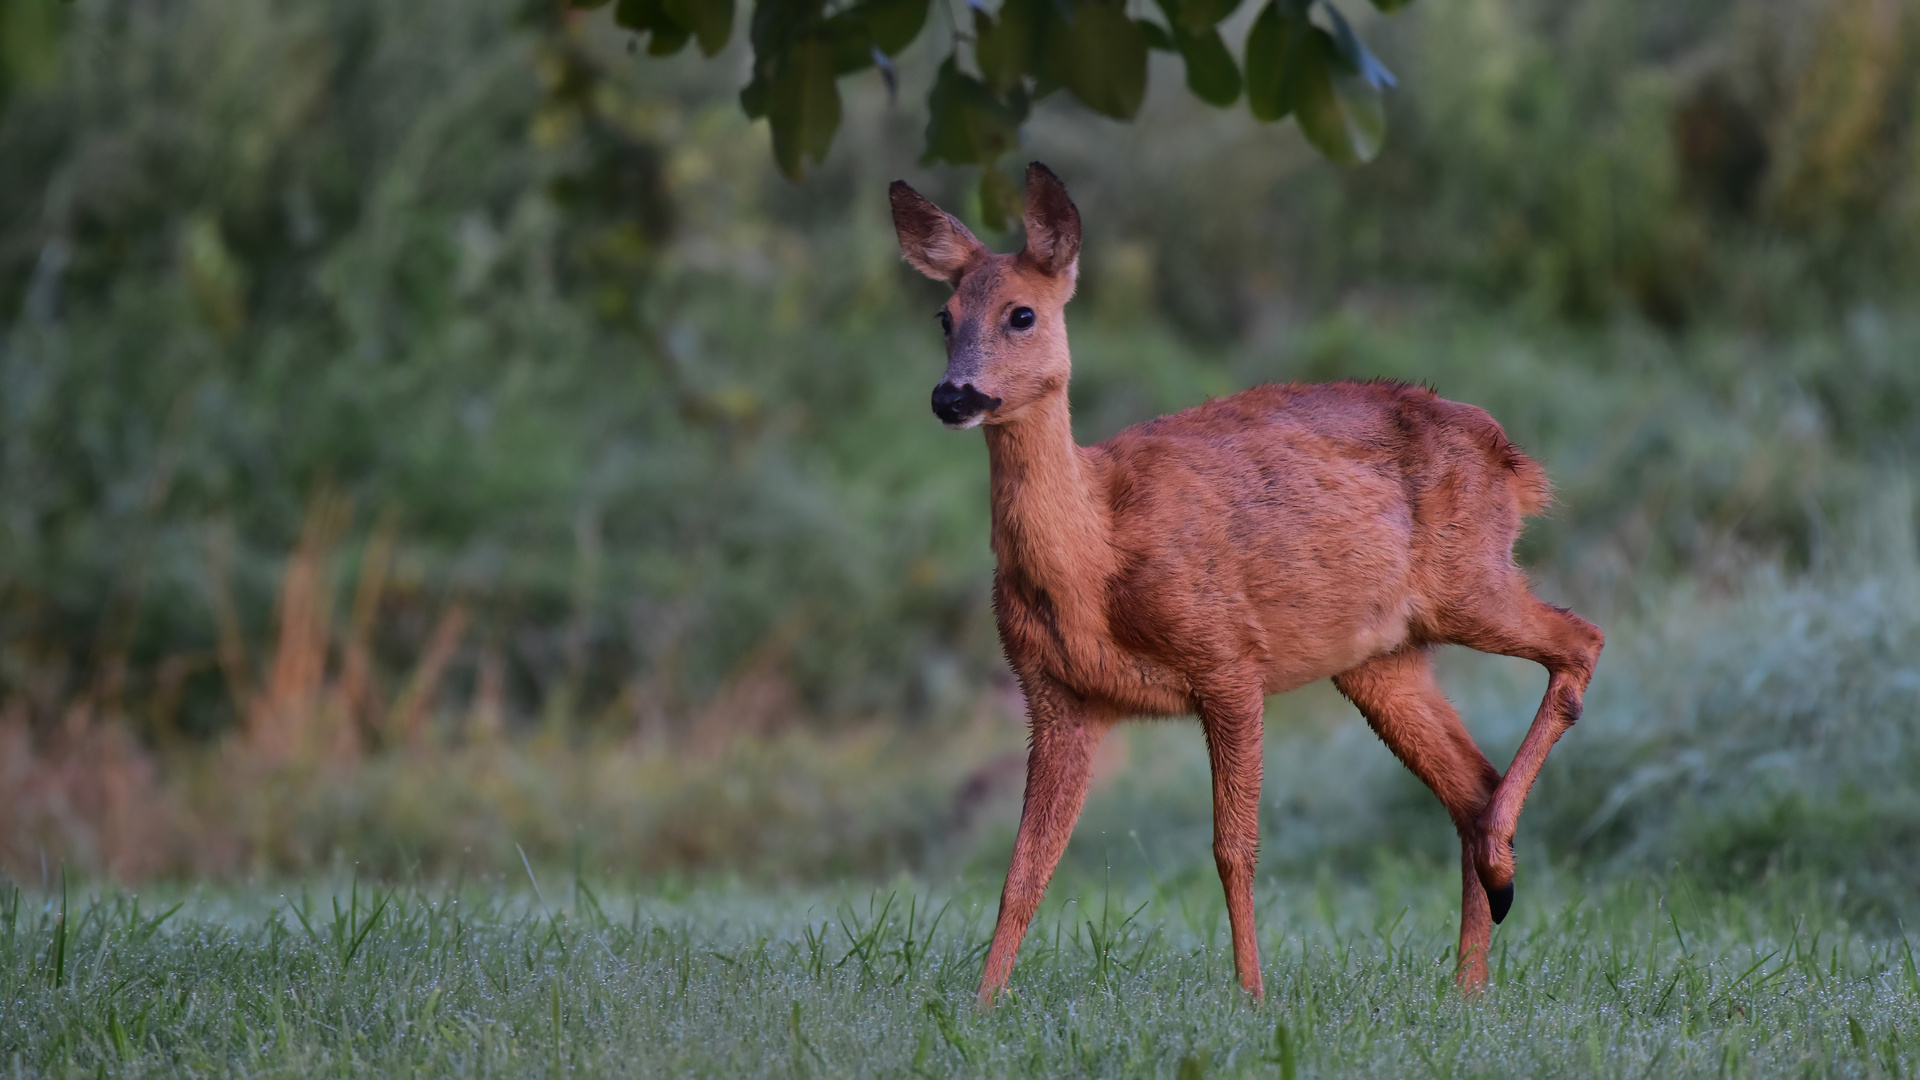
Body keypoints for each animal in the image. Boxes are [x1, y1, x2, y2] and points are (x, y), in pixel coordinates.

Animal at [890, 161, 1597, 999]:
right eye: (944, 316)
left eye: (1021, 314)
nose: (953, 395)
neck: (1095, 554)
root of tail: (1510, 459)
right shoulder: (1057, 695)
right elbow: (1024, 869)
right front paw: (983, 1005)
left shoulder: (1227, 658)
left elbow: (1234, 848)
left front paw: (1252, 996)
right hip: (1380, 658)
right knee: (1471, 781)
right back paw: (1471, 974)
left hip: (1470, 577)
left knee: (1580, 640)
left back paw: (1493, 887)